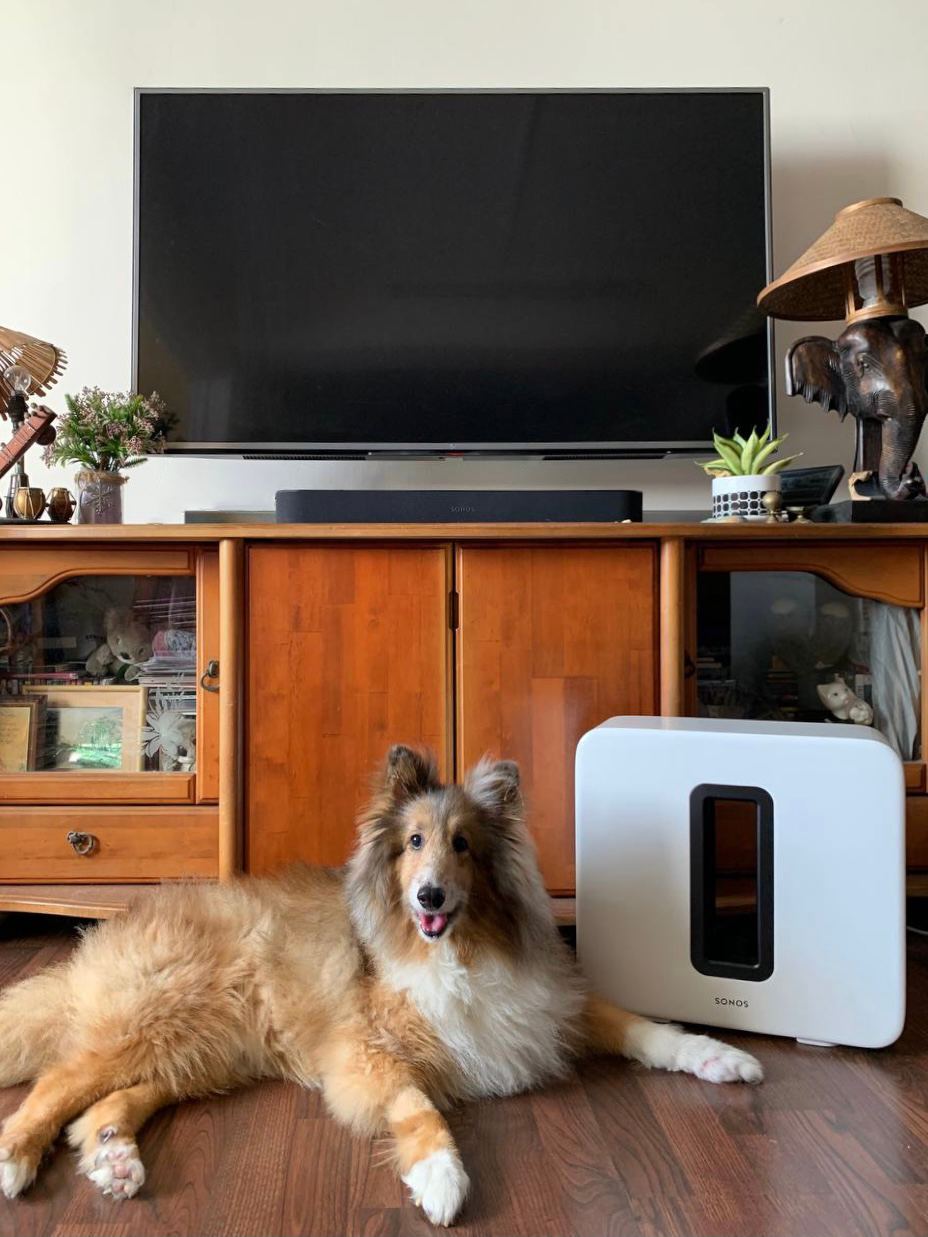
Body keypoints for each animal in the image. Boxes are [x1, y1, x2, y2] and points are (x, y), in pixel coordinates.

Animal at [0, 747, 762, 1222]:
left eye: (462, 845)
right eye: (414, 842)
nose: (428, 897)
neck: (455, 949)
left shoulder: (547, 1002)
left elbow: (641, 1025)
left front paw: (721, 1058)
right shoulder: (366, 1048)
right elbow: (415, 1103)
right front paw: (442, 1178)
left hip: (205, 1050)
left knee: (105, 1104)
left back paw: (115, 1157)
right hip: (159, 1019)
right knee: (58, 1083)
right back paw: (14, 1157)